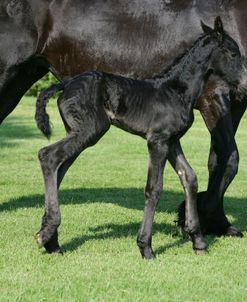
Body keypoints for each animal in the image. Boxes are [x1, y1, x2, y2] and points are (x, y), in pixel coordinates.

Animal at [0, 0, 246, 241]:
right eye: (233, 54)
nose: (245, 83)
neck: (175, 89)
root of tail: (66, 84)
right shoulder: (162, 137)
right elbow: (157, 187)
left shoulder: (173, 140)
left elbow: (194, 174)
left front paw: (198, 231)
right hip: (86, 128)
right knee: (48, 156)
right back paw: (49, 233)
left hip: (72, 126)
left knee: (59, 166)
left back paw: (50, 237)